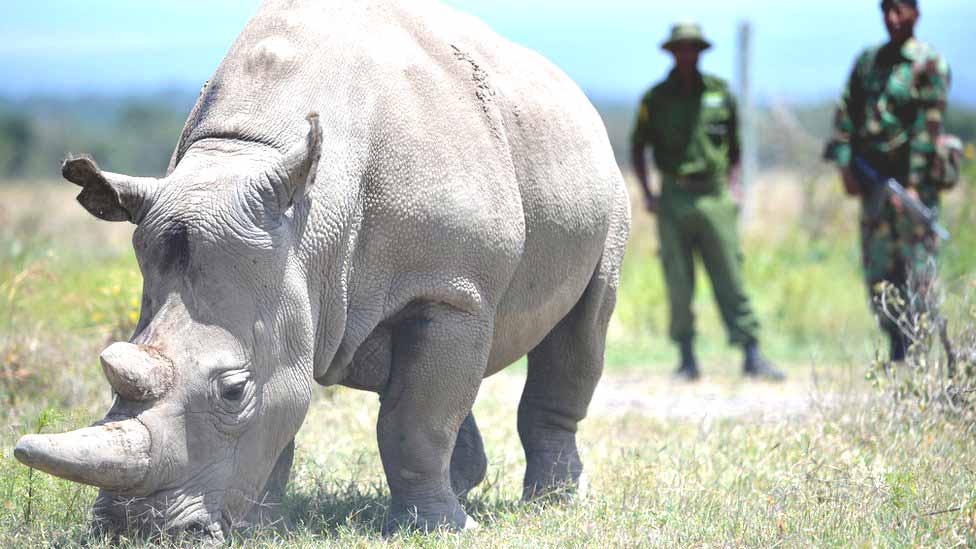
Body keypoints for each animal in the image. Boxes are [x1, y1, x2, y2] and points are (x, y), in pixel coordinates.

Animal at [14, 0, 630, 538]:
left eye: (233, 392)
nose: (134, 530)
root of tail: (573, 91)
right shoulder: (292, 273)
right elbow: (300, 404)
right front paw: (262, 527)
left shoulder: (451, 290)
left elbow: (415, 421)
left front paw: (439, 530)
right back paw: (467, 482)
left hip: (608, 187)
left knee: (582, 330)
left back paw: (554, 502)